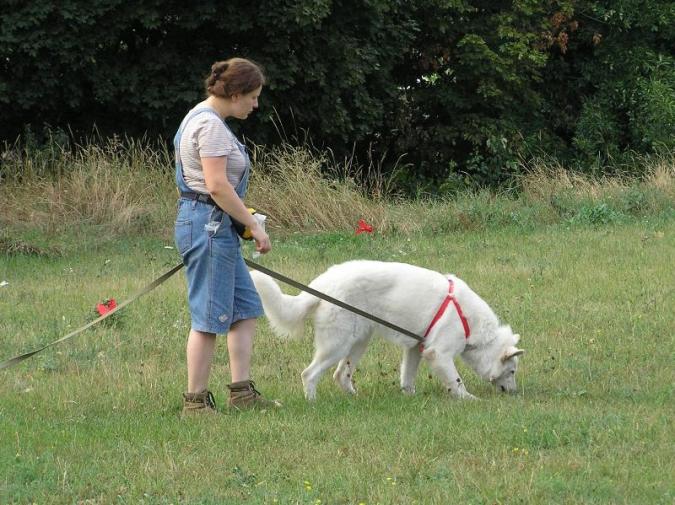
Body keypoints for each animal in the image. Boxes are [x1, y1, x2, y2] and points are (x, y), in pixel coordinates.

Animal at [251, 260, 524, 398]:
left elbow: (407, 378)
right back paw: (313, 402)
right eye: (511, 371)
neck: (470, 320)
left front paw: (409, 397)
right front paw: (469, 400)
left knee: (340, 375)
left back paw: (354, 399)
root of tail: (323, 283)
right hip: (337, 346)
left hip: (357, 343)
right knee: (309, 374)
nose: (513, 392)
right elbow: (457, 382)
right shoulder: (439, 354)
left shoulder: (416, 349)